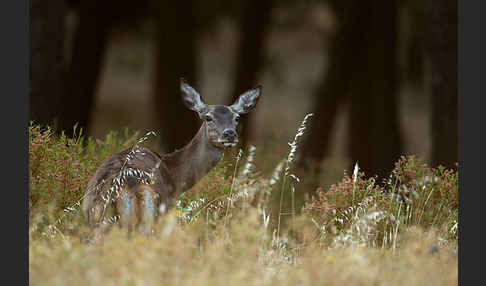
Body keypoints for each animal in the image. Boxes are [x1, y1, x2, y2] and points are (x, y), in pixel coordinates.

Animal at [81, 78, 262, 237]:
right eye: (208, 117)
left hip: (98, 221)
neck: (173, 175)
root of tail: (129, 188)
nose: (229, 134)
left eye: (236, 118)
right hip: (150, 216)